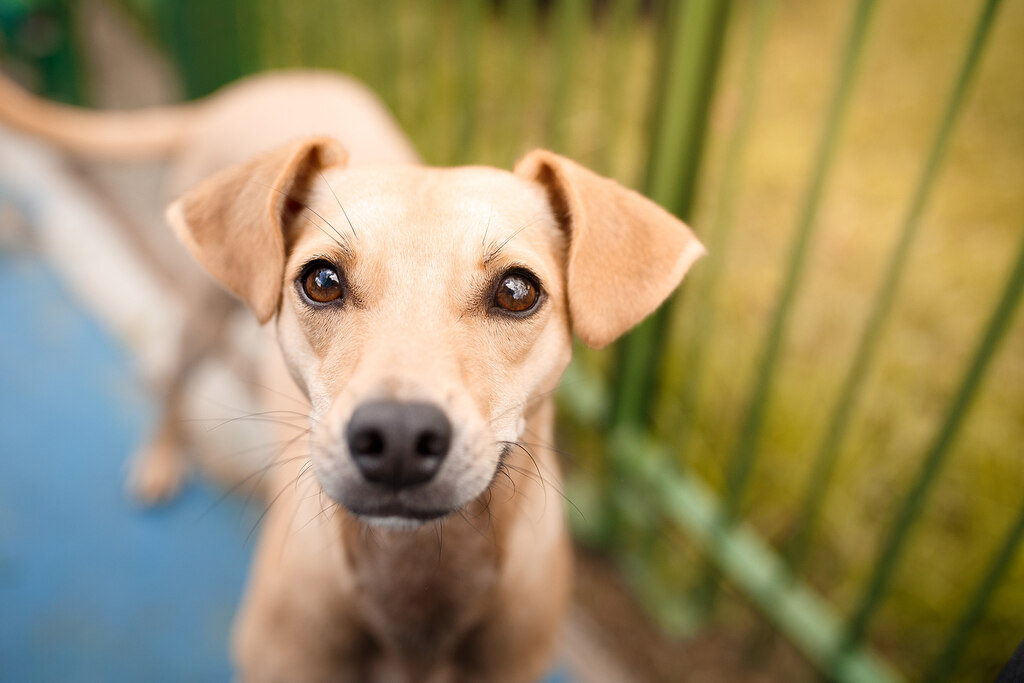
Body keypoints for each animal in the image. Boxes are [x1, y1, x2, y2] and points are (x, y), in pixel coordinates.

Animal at [0, 68, 704, 679]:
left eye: (516, 291)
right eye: (321, 280)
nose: (397, 437)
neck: (416, 585)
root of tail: (261, 86)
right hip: (198, 315)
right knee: (169, 378)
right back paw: (161, 455)